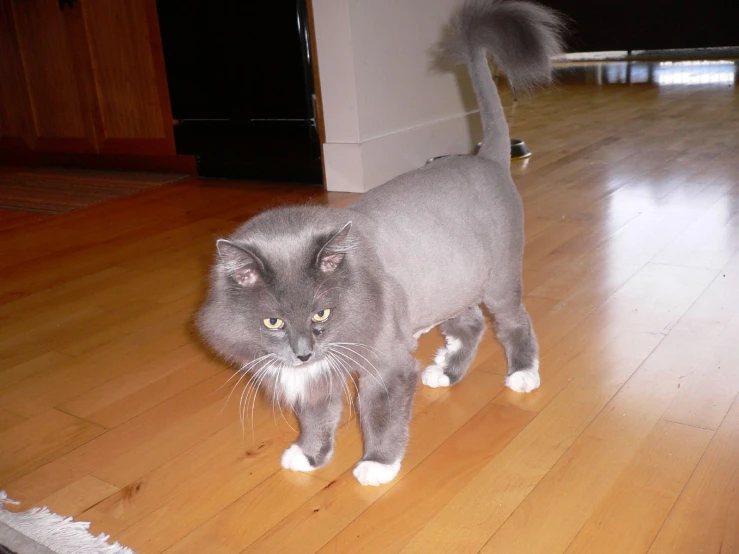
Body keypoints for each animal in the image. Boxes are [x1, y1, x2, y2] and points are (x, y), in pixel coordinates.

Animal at [197, 0, 568, 484]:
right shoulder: (322, 374)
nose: (302, 353)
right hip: (448, 283)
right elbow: (317, 417)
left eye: (321, 312)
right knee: (470, 325)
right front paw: (310, 457)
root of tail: (487, 157)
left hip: (500, 280)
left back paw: (522, 375)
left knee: (513, 323)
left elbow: (380, 416)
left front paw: (376, 465)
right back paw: (444, 372)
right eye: (273, 322)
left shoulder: (385, 365)